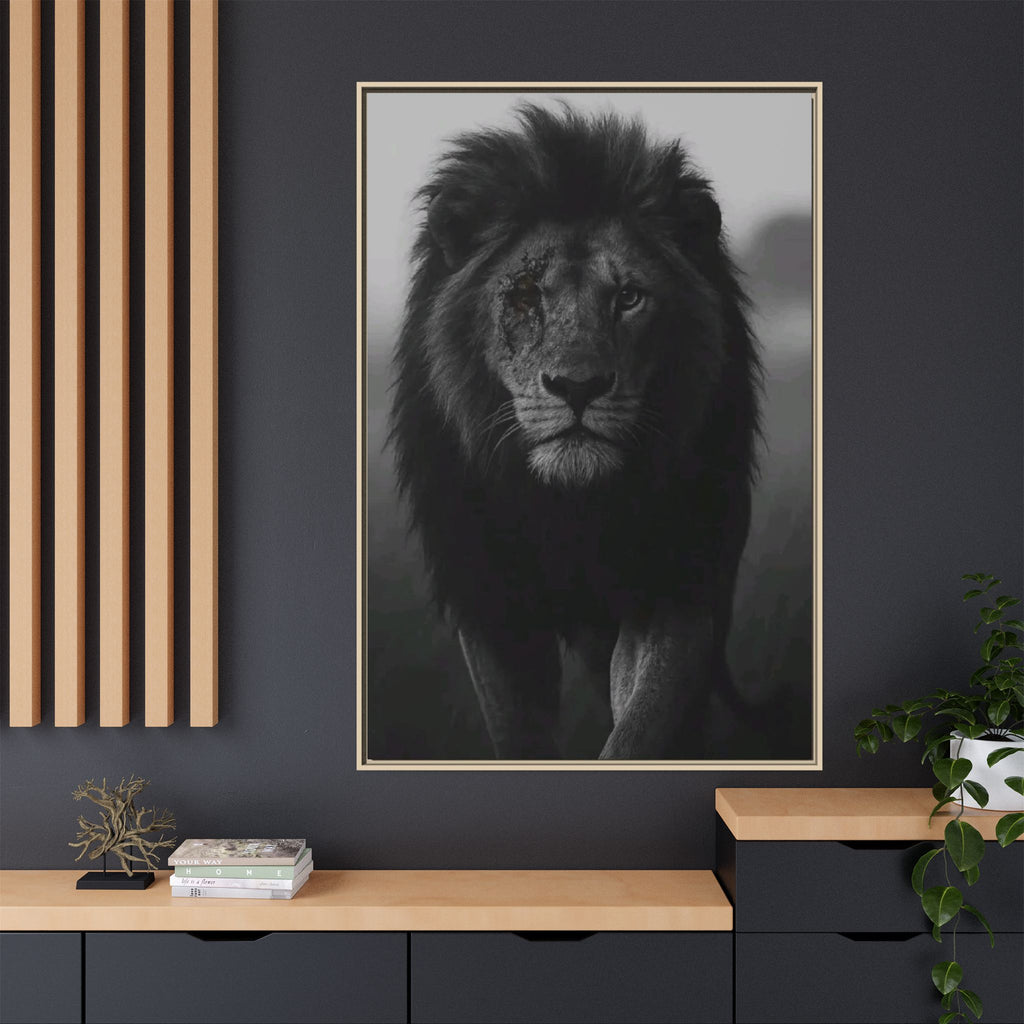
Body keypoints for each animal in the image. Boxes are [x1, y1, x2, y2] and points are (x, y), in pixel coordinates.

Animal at [388, 103, 760, 759]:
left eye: (630, 297)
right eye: (525, 296)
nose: (578, 386)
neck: (571, 510)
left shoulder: (674, 585)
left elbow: (642, 725)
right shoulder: (491, 602)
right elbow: (518, 736)